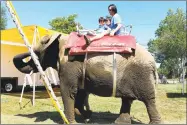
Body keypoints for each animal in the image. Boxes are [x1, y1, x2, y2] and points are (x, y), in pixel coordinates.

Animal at [13, 33, 162, 124]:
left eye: (37, 54)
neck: (61, 38)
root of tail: (153, 61)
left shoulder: (69, 63)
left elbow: (68, 91)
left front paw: (71, 122)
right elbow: (80, 91)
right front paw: (87, 116)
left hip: (141, 75)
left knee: (149, 100)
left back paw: (154, 122)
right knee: (127, 99)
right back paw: (120, 122)